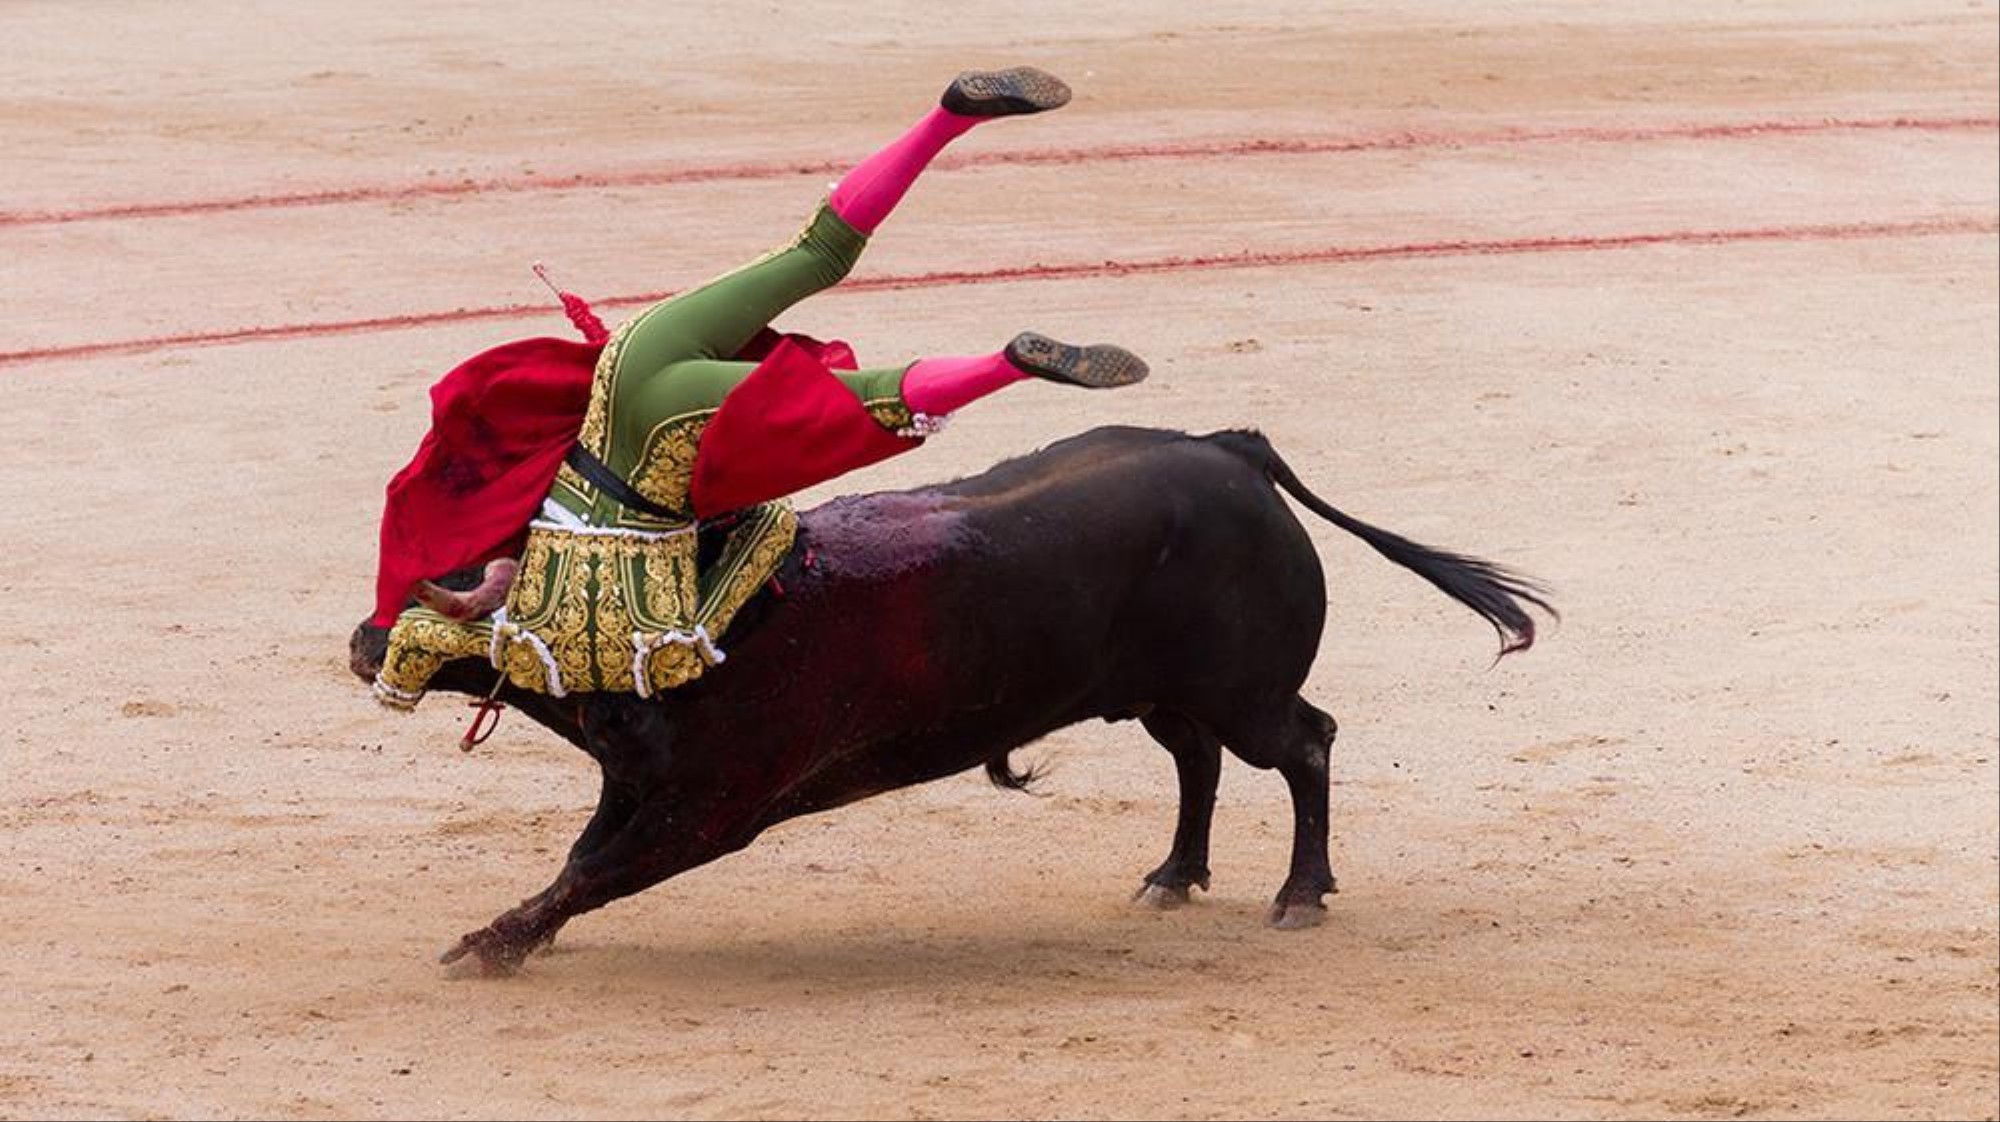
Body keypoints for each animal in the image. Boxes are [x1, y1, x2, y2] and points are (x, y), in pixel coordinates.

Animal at [352, 426, 1552, 972]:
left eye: (437, 578)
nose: (362, 643)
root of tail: (1227, 451)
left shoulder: (714, 806)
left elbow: (598, 872)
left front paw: (490, 947)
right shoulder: (639, 782)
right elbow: (582, 860)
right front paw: (521, 937)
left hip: (1245, 690)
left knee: (1301, 745)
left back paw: (1298, 892)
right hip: (1154, 690)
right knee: (1196, 760)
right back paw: (1172, 877)